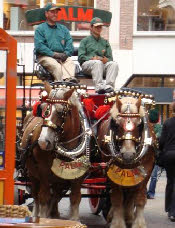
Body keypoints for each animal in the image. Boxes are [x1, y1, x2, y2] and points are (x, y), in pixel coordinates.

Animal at [20, 81, 91, 219]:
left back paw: (54, 214)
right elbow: (43, 197)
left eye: (60, 111)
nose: (43, 141)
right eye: (42, 109)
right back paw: (37, 215)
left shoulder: (79, 174)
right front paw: (42, 218)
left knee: (56, 195)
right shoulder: (42, 171)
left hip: (58, 179)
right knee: (36, 195)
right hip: (32, 173)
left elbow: (75, 198)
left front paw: (74, 219)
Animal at [97, 91, 157, 228]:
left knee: (130, 194)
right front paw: (117, 222)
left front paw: (138, 223)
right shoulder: (111, 171)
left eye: (140, 124)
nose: (128, 154)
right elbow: (117, 198)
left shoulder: (147, 169)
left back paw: (128, 216)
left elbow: (139, 197)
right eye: (116, 124)